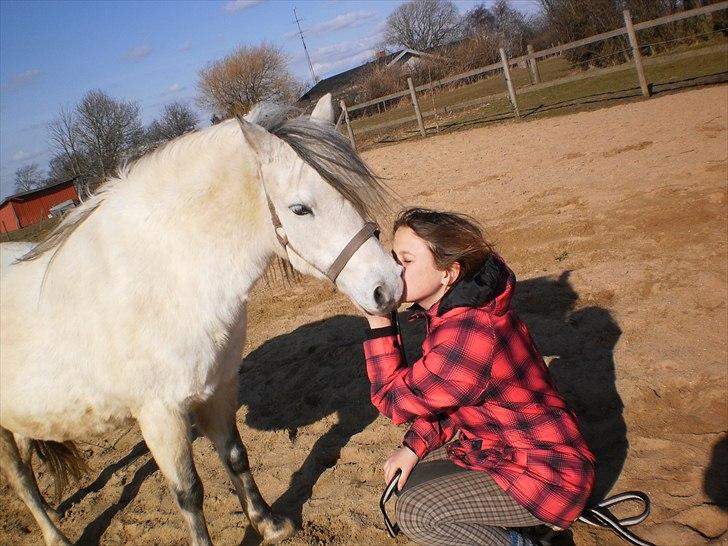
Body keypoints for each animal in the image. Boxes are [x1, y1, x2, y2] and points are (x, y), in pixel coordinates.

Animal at [0, 93, 403, 546]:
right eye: (300, 209)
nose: (388, 287)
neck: (163, 278)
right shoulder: (161, 415)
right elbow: (189, 493)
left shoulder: (218, 390)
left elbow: (236, 457)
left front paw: (269, 524)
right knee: (20, 479)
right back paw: (55, 536)